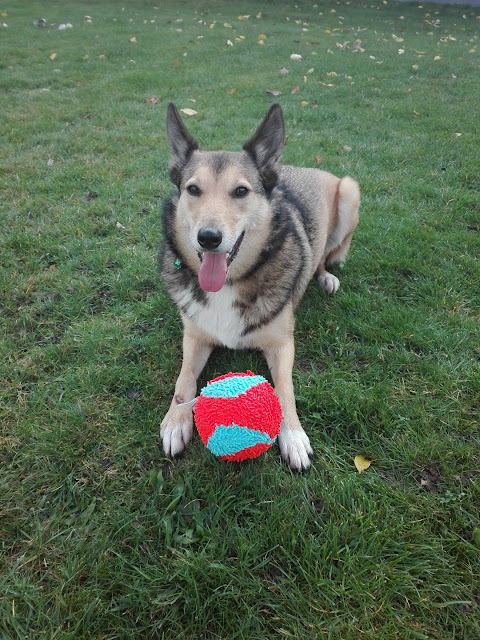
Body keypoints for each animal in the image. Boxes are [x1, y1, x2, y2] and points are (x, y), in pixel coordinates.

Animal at [159, 101, 358, 470]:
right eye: (193, 189)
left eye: (240, 191)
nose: (208, 238)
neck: (230, 282)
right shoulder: (194, 336)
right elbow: (184, 378)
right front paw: (175, 420)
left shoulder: (282, 343)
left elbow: (285, 389)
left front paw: (293, 436)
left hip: (350, 194)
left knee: (324, 258)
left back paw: (326, 276)